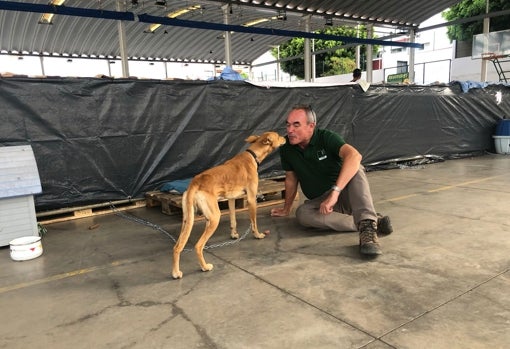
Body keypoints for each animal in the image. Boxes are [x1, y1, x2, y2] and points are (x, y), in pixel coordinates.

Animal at [172, 130, 284, 278]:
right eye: (278, 136)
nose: (285, 137)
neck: (252, 155)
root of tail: (195, 182)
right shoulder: (251, 198)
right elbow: (254, 221)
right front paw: (258, 235)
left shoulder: (232, 199)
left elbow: (233, 220)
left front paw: (234, 234)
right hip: (214, 218)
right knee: (198, 246)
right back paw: (205, 267)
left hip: (187, 220)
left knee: (177, 247)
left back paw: (175, 272)